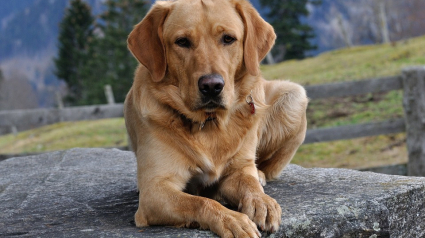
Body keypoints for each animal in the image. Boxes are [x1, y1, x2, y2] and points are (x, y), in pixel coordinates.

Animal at [124, 0, 306, 236]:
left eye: (228, 38)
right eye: (182, 42)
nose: (212, 86)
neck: (209, 123)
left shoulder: (237, 170)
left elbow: (249, 184)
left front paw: (261, 201)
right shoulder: (154, 190)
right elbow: (200, 202)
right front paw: (231, 219)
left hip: (295, 96)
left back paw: (260, 175)